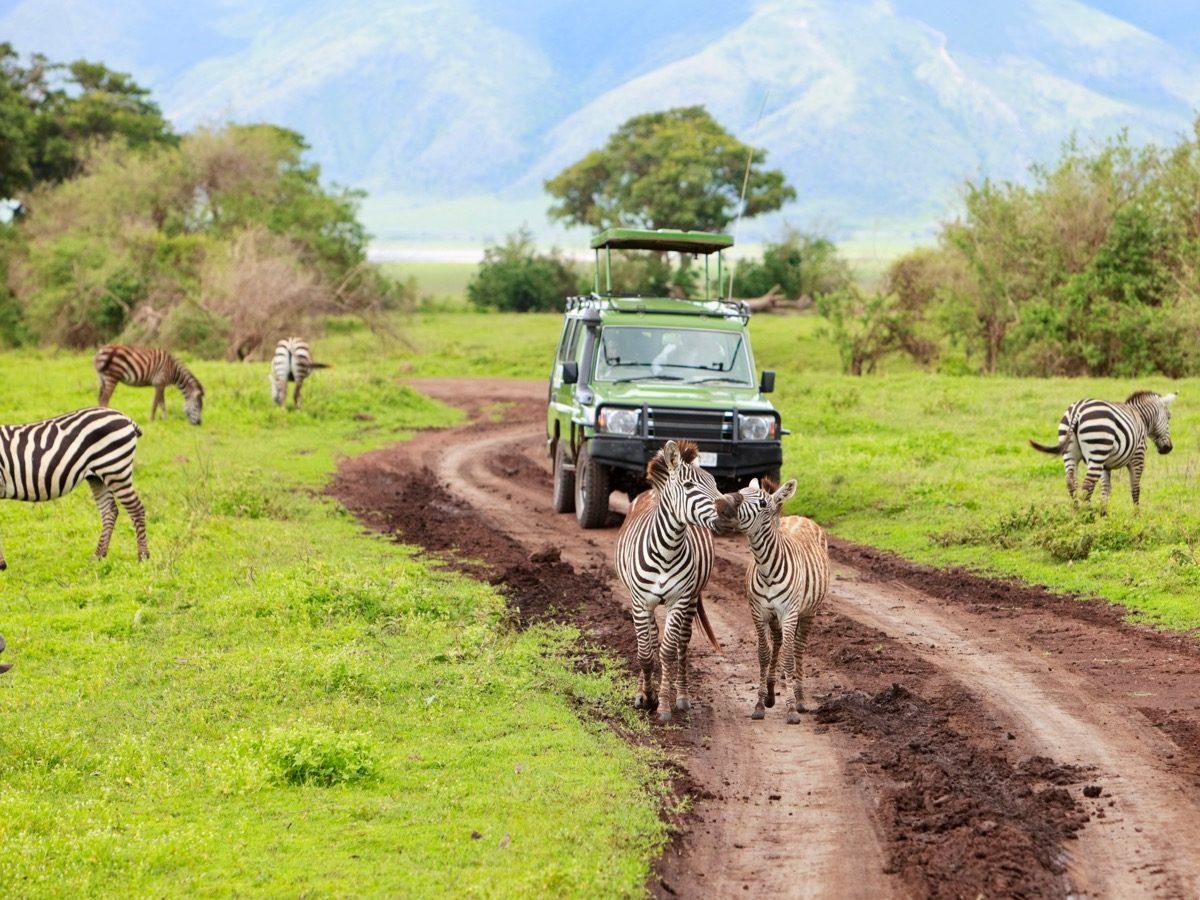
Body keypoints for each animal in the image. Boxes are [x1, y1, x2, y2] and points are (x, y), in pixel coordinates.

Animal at [0, 410, 151, 571]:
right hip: (97, 477)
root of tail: (125, 417)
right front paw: (2, 564)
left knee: (136, 509)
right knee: (109, 511)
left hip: (115, 469)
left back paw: (143, 557)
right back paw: (98, 557)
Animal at [614, 441, 734, 724]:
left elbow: (667, 651)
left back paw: (682, 696)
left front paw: (664, 704)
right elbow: (645, 652)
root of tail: (651, 491)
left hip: (691, 598)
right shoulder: (639, 602)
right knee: (650, 639)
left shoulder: (678, 600)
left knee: (682, 643)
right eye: (689, 486)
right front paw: (646, 696)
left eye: (714, 483)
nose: (728, 511)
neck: (667, 550)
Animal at [720, 480, 825, 724]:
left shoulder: (789, 613)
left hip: (808, 612)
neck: (766, 568)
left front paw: (791, 709)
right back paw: (771, 692)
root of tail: (801, 517)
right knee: (778, 643)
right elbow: (763, 654)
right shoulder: (758, 612)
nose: (722, 504)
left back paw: (800, 698)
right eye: (741, 492)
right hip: (776, 617)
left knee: (797, 648)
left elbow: (788, 658)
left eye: (761, 503)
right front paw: (760, 704)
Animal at [1027, 388, 1176, 513]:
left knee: (1071, 481)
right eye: (1169, 417)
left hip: (1070, 452)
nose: (1168, 448)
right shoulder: (1138, 457)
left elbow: (1106, 489)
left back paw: (1076, 511)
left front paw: (1104, 513)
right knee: (1087, 484)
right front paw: (1137, 514)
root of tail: (1076, 411)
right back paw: (1087, 513)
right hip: (1097, 451)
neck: (1141, 417)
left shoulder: (1106, 465)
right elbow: (1135, 487)